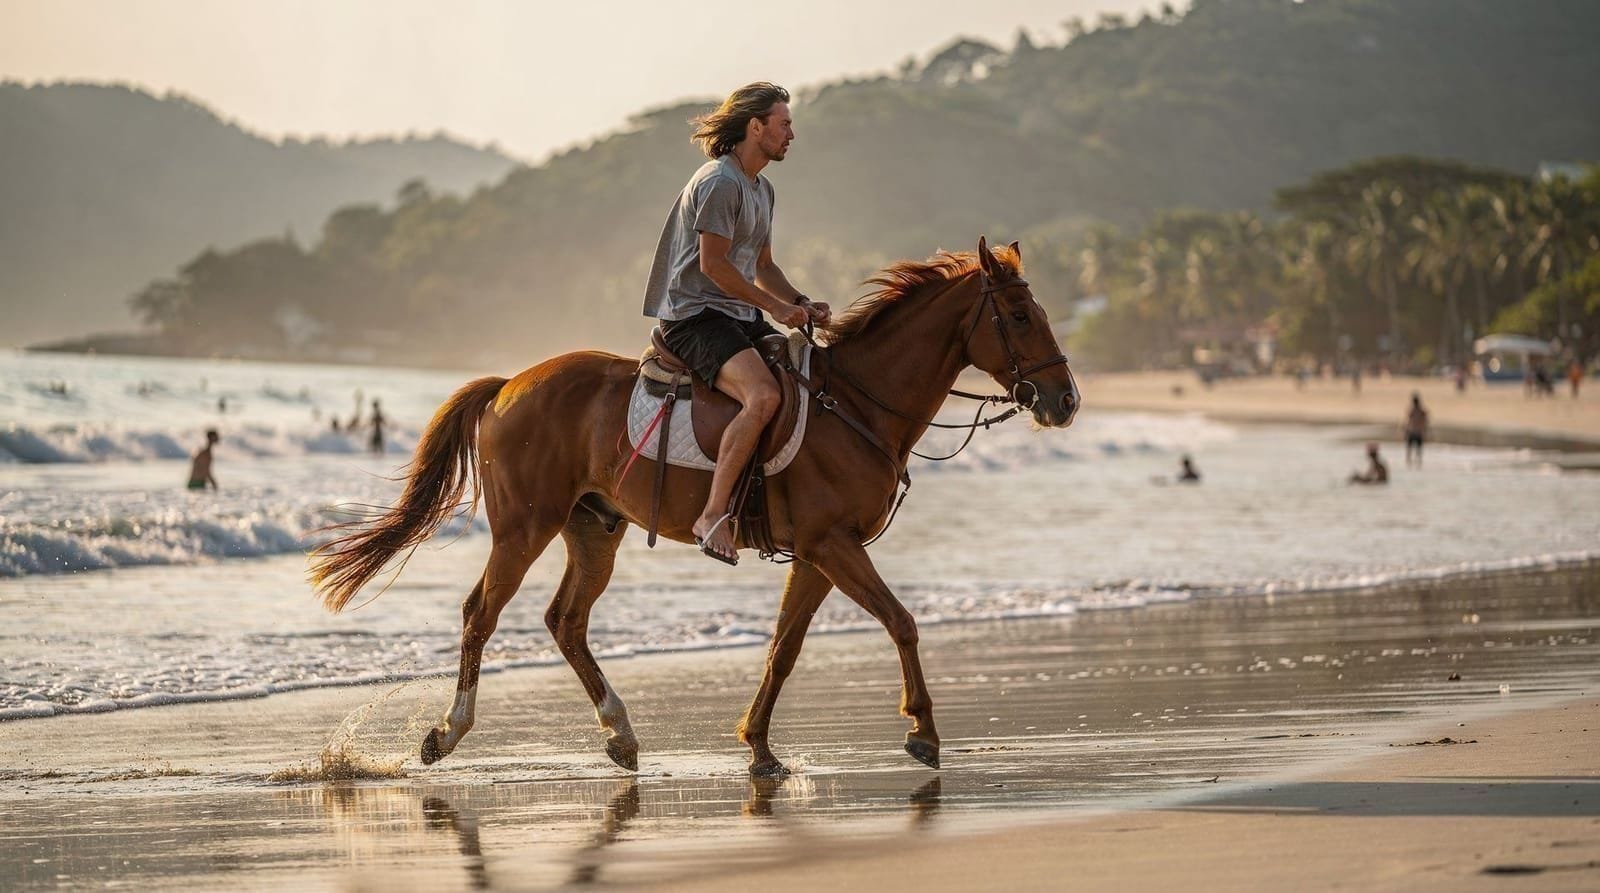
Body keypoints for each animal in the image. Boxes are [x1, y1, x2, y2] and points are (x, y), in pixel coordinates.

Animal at [310, 237, 1079, 777]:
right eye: (1018, 316)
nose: (1066, 400)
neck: (856, 403)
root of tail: (508, 385)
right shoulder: (833, 545)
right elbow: (902, 622)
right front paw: (921, 729)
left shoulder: (819, 555)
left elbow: (783, 649)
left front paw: (759, 746)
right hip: (525, 526)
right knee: (481, 613)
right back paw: (449, 731)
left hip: (595, 529)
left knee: (566, 621)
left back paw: (620, 732)